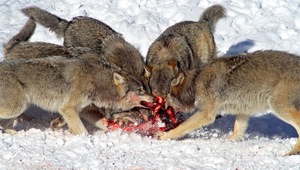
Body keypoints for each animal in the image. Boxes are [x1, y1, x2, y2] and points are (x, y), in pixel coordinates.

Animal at [0, 54, 152, 134]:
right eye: (140, 90)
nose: (153, 97)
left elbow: (104, 124)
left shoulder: (85, 110)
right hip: (17, 107)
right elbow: (83, 132)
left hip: (19, 108)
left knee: (5, 125)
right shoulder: (67, 109)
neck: (96, 81)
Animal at [161, 50, 300, 155]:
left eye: (167, 97)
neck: (195, 82)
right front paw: (228, 141)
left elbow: (181, 127)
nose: (164, 107)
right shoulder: (243, 111)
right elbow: (237, 130)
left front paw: (162, 136)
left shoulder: (206, 114)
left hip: (278, 107)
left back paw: (292, 152)